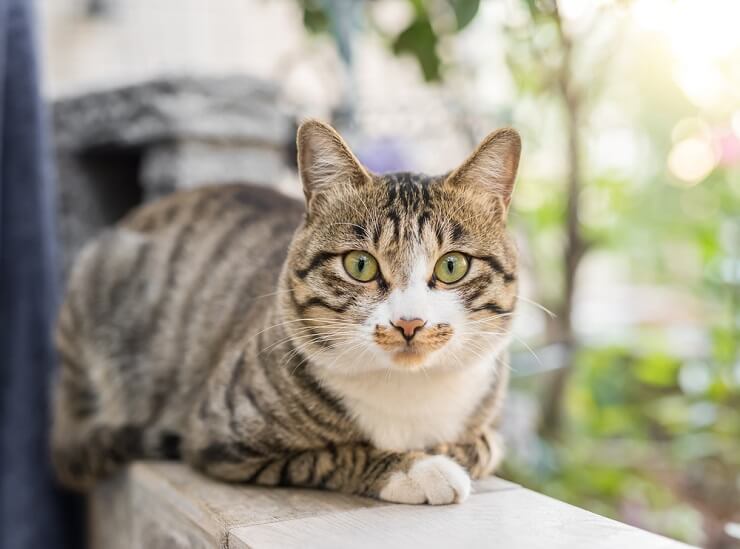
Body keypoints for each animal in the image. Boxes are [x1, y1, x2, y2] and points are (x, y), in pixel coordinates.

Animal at [52, 121, 520, 506]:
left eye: (451, 266)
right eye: (360, 265)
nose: (409, 323)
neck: (409, 391)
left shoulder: (487, 427)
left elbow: (482, 446)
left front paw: (443, 451)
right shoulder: (219, 436)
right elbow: (332, 454)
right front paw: (418, 468)